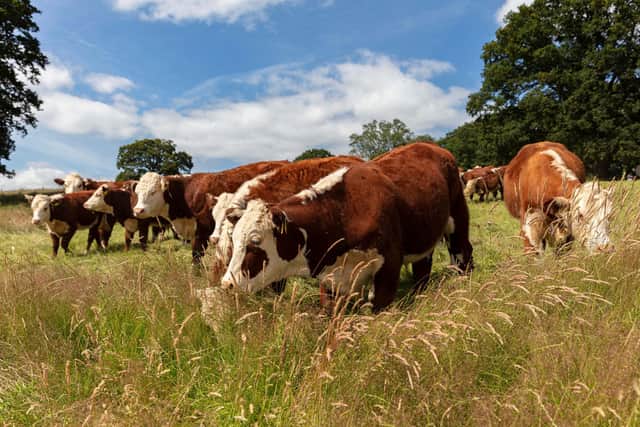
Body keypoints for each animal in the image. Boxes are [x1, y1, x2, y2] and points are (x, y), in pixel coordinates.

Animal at [132, 160, 289, 263]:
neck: (186, 193)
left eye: (153, 192)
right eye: (137, 192)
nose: (138, 210)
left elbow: (196, 255)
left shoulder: (202, 231)